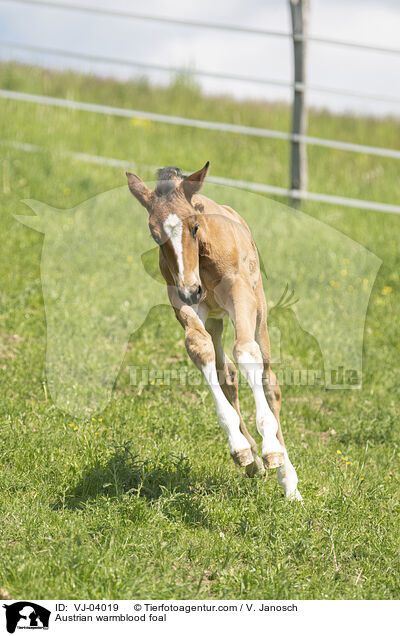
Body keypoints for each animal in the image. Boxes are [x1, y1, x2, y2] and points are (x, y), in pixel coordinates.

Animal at [126, 164, 302, 502]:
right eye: (155, 234)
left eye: (194, 226)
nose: (192, 289)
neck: (203, 260)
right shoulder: (181, 301)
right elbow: (200, 350)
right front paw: (241, 450)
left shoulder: (240, 295)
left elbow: (246, 352)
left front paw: (271, 451)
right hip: (215, 319)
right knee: (227, 375)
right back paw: (254, 462)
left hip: (258, 308)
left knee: (268, 380)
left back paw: (287, 479)